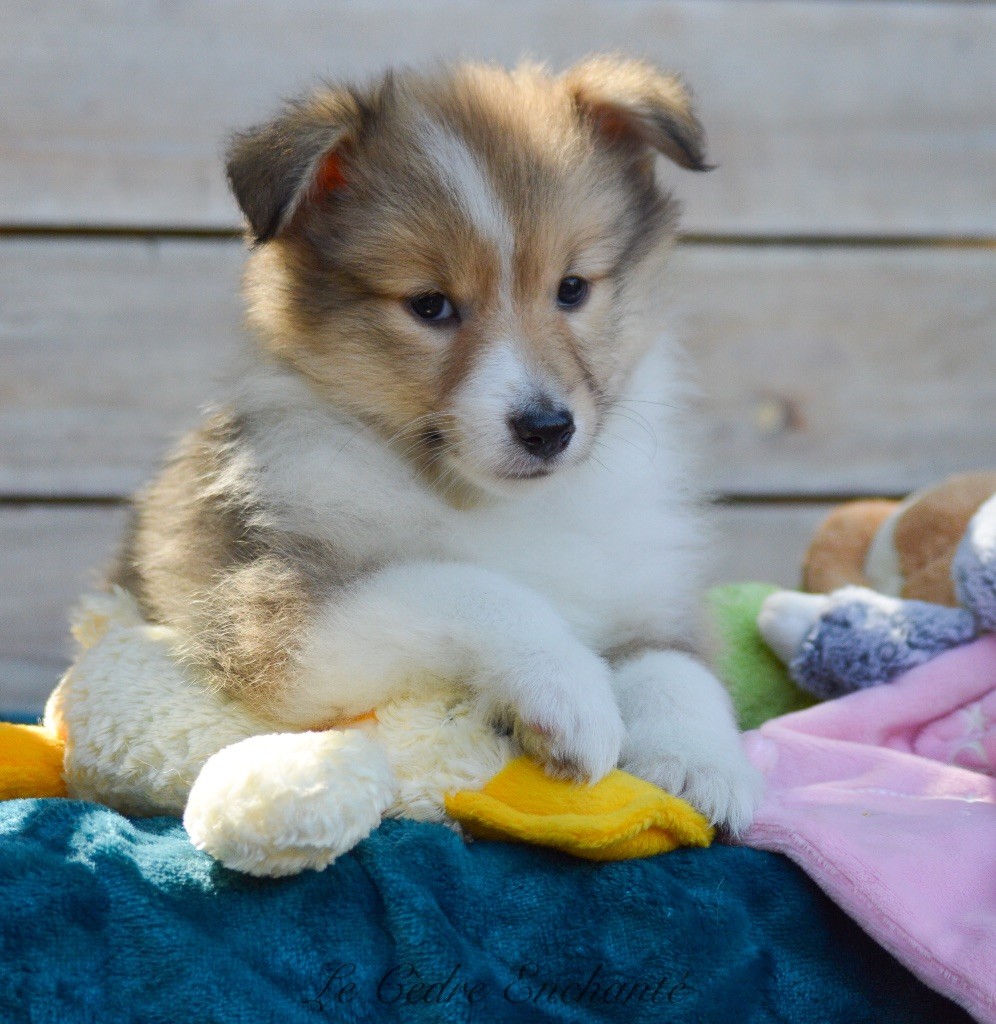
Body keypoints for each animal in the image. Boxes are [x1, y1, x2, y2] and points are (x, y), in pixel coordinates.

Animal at [110, 56, 762, 833]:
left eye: (573, 288)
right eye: (430, 306)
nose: (547, 428)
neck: (501, 506)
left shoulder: (651, 589)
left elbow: (678, 667)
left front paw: (698, 765)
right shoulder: (276, 620)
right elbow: (464, 586)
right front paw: (572, 694)